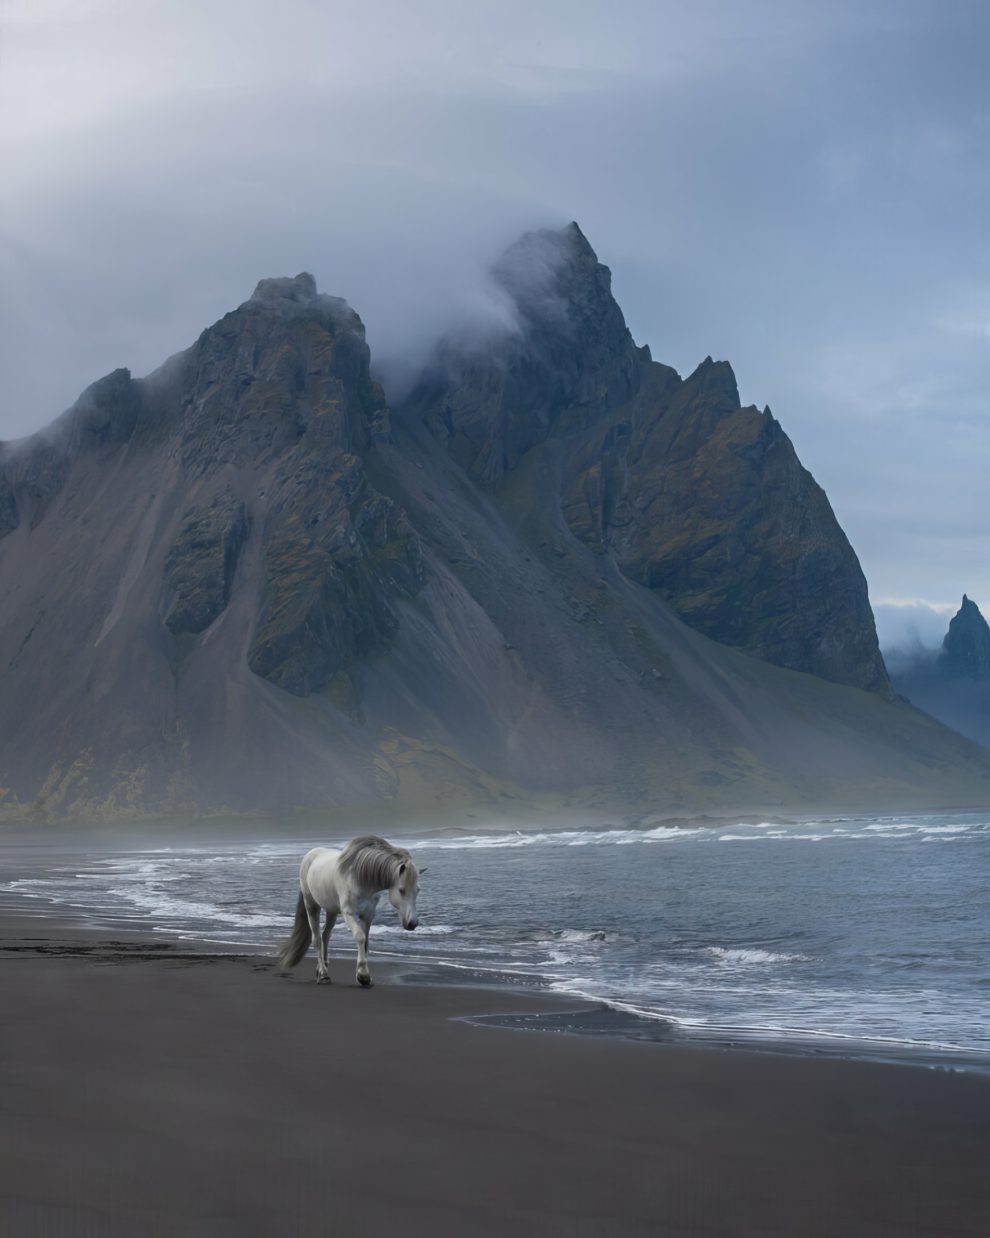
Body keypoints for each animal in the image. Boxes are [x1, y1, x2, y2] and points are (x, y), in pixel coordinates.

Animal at [275, 831, 423, 985]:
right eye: (401, 890)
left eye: (418, 890)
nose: (412, 923)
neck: (361, 880)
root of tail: (311, 854)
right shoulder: (349, 913)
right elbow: (360, 937)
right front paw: (362, 975)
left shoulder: (368, 915)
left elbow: (366, 942)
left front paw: (364, 974)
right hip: (311, 905)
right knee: (317, 939)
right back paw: (323, 974)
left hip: (331, 910)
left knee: (326, 935)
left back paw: (322, 967)